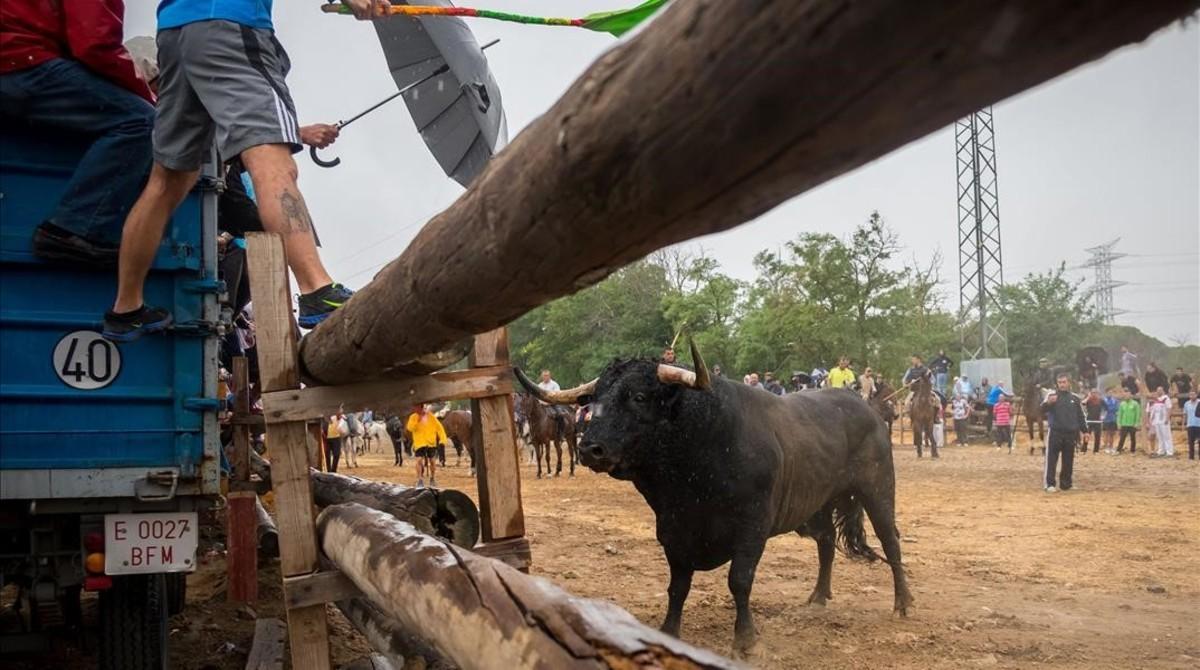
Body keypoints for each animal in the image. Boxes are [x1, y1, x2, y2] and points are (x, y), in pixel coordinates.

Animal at [511, 343, 912, 657]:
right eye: (593, 400)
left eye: (639, 396)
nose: (589, 448)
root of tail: (863, 407)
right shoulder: (672, 531)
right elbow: (677, 586)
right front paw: (669, 631)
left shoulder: (751, 528)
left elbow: (739, 580)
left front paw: (746, 640)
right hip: (820, 502)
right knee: (827, 542)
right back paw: (818, 596)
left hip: (878, 491)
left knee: (890, 541)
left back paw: (903, 603)